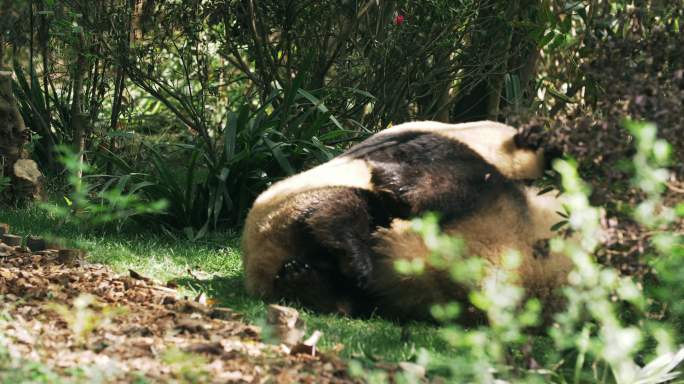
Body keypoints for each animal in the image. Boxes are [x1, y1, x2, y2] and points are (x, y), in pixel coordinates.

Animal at [240, 120, 572, 320]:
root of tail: (259, 266)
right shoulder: (433, 145)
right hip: (297, 203)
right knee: (338, 211)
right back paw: (351, 261)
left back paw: (314, 284)